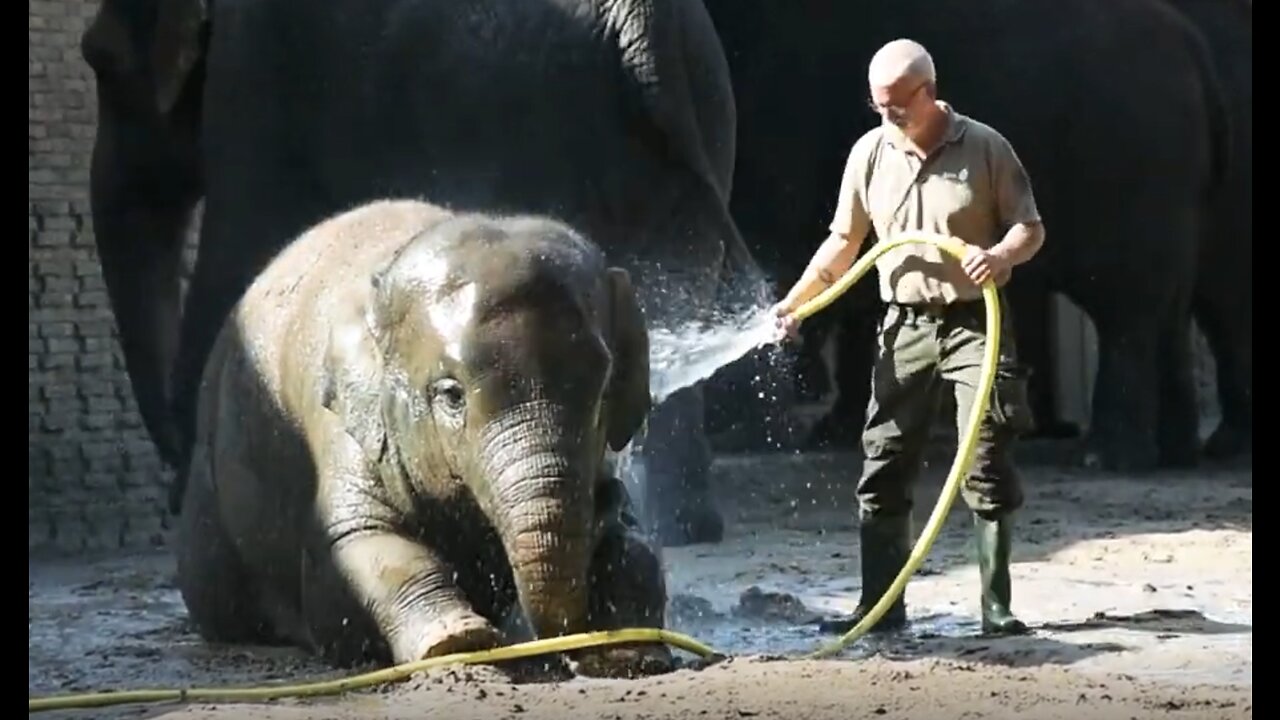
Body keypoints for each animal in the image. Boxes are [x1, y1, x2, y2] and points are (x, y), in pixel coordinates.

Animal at [80, 0, 757, 543]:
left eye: (101, 61)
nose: (173, 466)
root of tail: (646, 28)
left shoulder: (251, 79)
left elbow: (240, 246)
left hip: (525, 116)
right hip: (696, 115)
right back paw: (684, 526)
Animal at [177, 196, 670, 671]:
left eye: (602, 389)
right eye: (451, 395)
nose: (575, 648)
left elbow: (634, 547)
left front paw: (630, 653)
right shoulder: (344, 427)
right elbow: (362, 547)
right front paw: (459, 643)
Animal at [701, 0, 1228, 471]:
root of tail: (1191, 44)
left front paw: (740, 429)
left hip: (1131, 165)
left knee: (1127, 309)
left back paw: (1108, 458)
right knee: (1170, 311)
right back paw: (1176, 453)